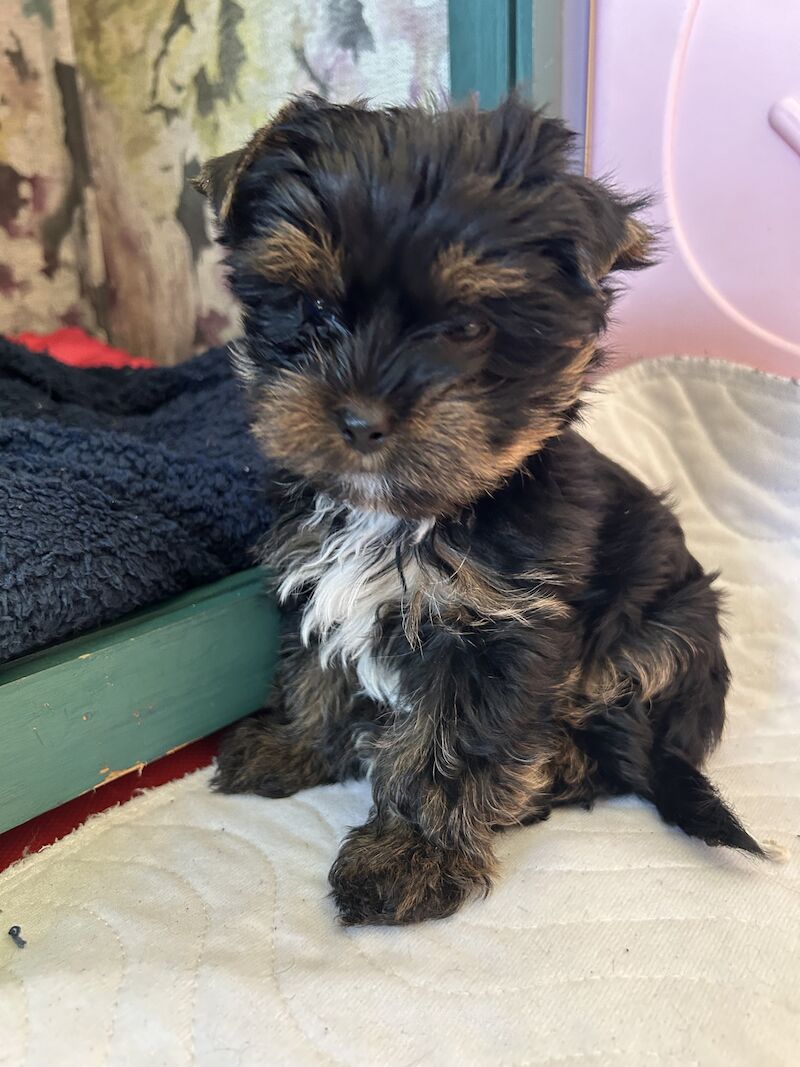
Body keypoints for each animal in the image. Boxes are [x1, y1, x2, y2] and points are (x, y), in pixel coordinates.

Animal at [199, 96, 772, 921]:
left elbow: (453, 739)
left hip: (667, 627)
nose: (361, 418)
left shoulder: (498, 627)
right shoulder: (315, 575)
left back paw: (553, 771)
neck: (407, 514)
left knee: (621, 743)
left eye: (467, 327)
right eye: (313, 309)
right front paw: (296, 741)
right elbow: (315, 663)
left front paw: (411, 854)